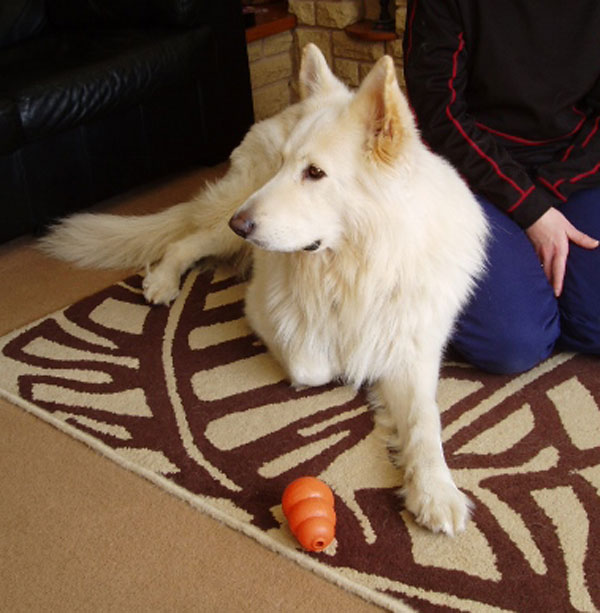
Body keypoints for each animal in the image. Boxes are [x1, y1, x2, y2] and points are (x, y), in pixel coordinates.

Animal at [44, 45, 490, 532]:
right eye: (285, 165)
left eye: (315, 172)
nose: (241, 224)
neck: (353, 267)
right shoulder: (261, 309)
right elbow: (312, 365)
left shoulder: (412, 350)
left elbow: (425, 422)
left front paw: (435, 489)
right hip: (227, 220)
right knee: (187, 240)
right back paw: (163, 279)